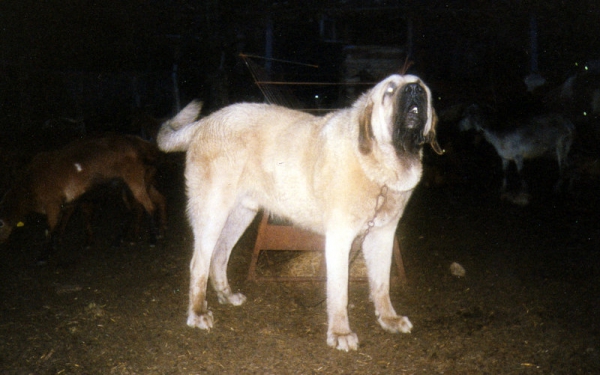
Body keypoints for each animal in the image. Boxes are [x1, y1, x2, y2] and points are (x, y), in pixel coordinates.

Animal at [0, 134, 166, 262]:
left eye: (0, 223)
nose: (1, 242)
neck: (29, 186)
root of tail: (144, 145)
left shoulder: (52, 203)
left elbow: (51, 228)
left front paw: (44, 255)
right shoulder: (71, 201)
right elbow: (67, 220)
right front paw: (60, 243)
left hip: (134, 179)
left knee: (147, 206)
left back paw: (152, 237)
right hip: (140, 181)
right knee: (152, 202)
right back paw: (154, 230)